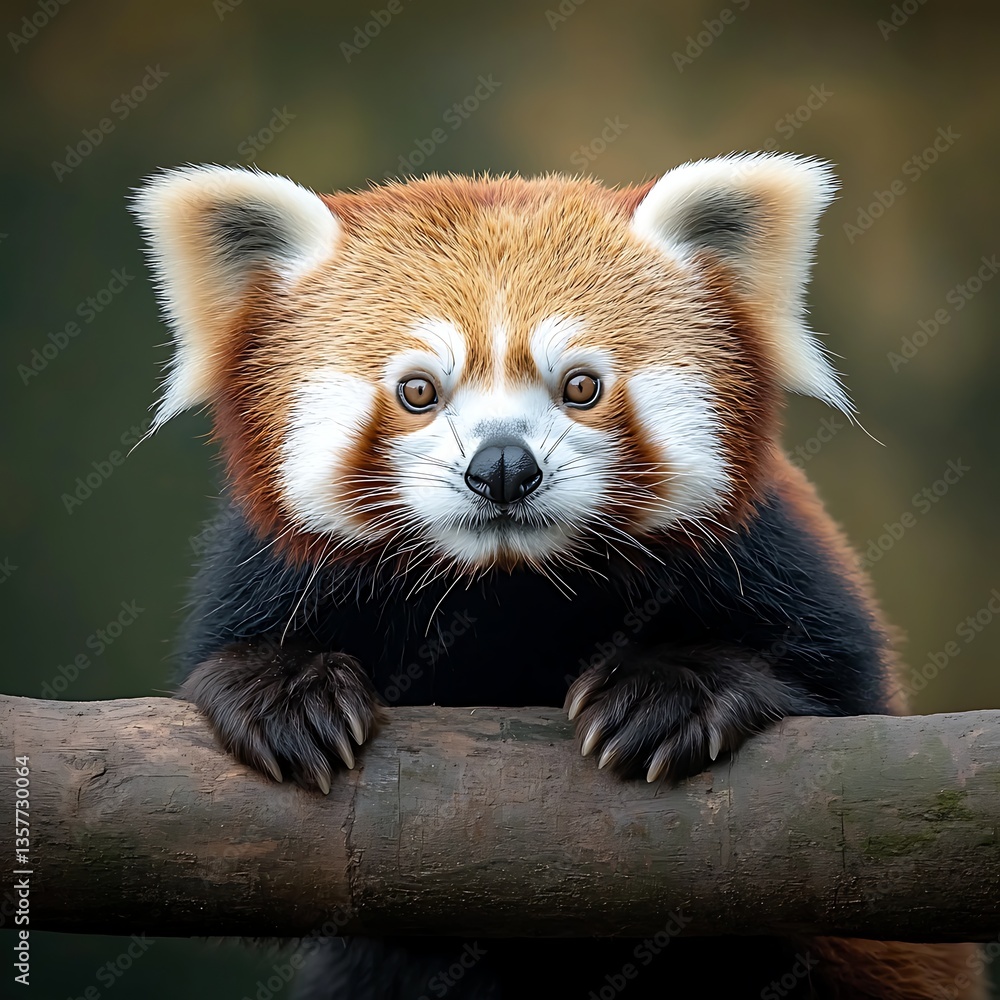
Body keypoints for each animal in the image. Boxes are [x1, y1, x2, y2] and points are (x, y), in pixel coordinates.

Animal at [131, 155, 985, 999]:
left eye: (581, 385)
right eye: (418, 391)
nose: (504, 467)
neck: (507, 589)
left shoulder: (773, 559)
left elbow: (842, 720)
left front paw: (671, 690)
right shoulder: (269, 572)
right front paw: (288, 691)